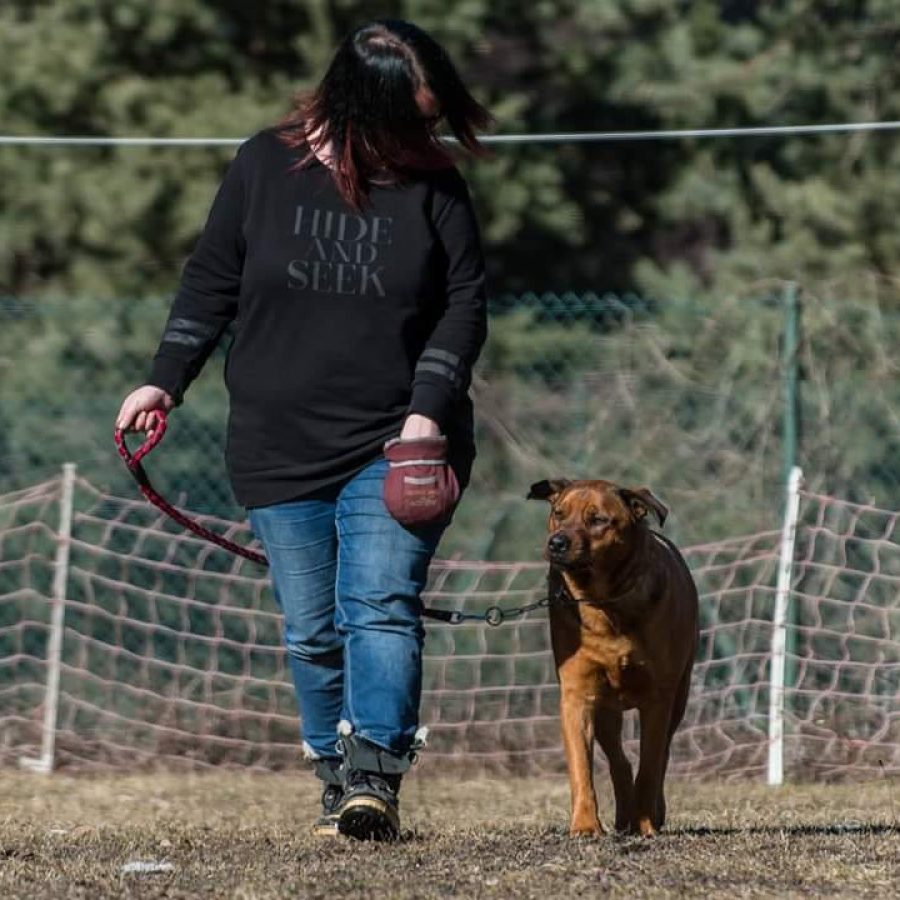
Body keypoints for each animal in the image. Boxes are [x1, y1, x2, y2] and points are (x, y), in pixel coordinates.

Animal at [532, 478, 700, 836]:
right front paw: (585, 826)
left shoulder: (658, 697)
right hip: (606, 707)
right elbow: (581, 766)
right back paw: (623, 815)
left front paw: (646, 822)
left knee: (662, 753)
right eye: (558, 513)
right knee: (619, 761)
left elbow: (650, 765)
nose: (556, 543)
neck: (605, 601)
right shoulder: (577, 693)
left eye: (597, 519)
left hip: (680, 694)